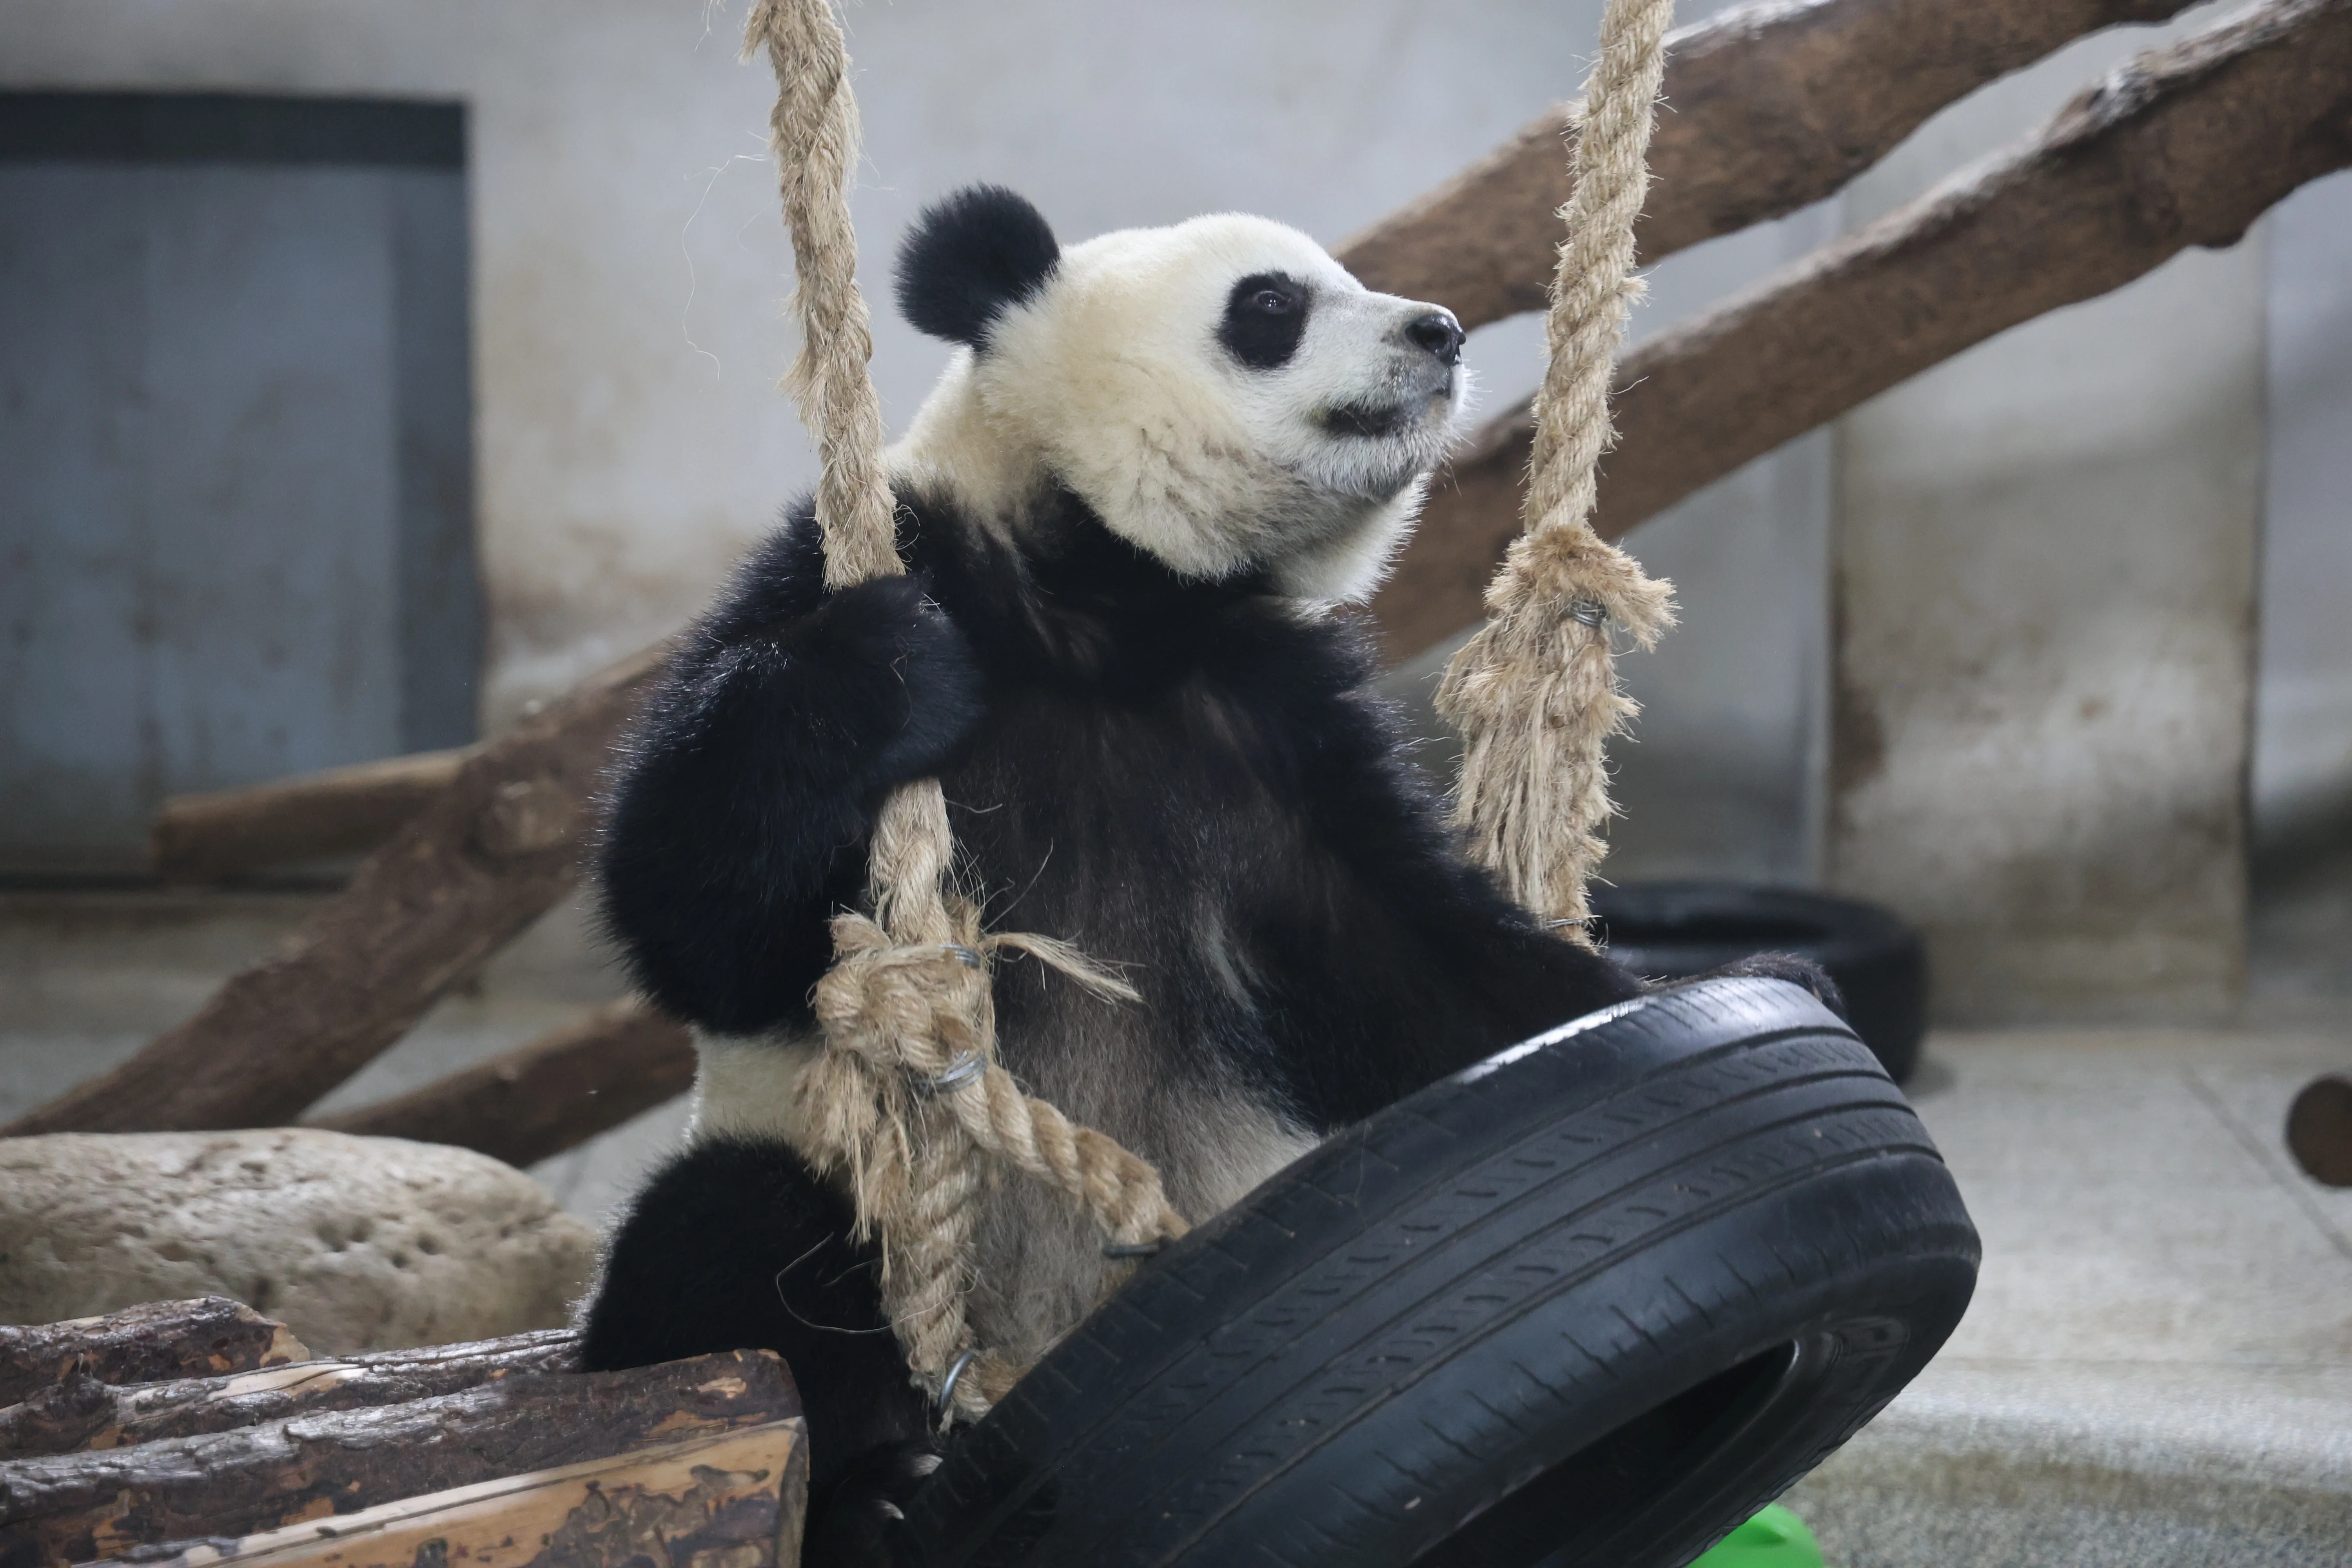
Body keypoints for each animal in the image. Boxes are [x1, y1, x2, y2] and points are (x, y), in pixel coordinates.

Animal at [579, 185, 1830, 1566]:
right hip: (830, 1196)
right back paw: (876, 1494)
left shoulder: (1268, 721)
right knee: (734, 1248)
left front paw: (1756, 985)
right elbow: (690, 915)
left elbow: (1410, 963)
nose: (1439, 331)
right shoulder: (892, 558)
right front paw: (885, 669)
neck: (1113, 606)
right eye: (1270, 305)